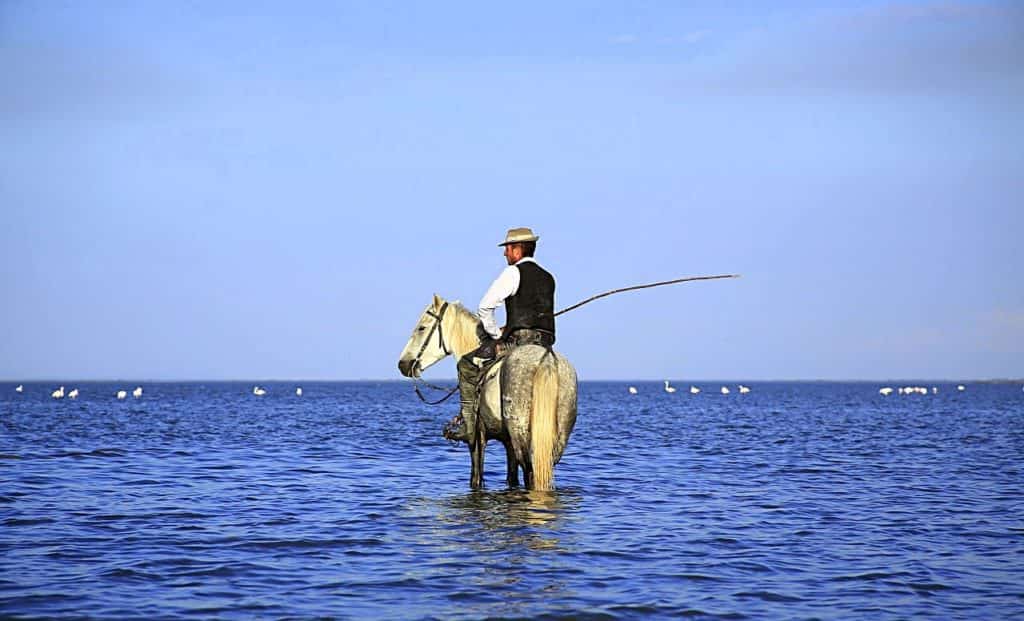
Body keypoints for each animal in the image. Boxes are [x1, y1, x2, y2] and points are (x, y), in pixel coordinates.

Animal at [397, 295, 577, 491]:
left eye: (421, 328)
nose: (403, 364)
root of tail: (546, 358)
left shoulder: (477, 439)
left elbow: (476, 477)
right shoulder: (508, 444)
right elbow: (511, 479)